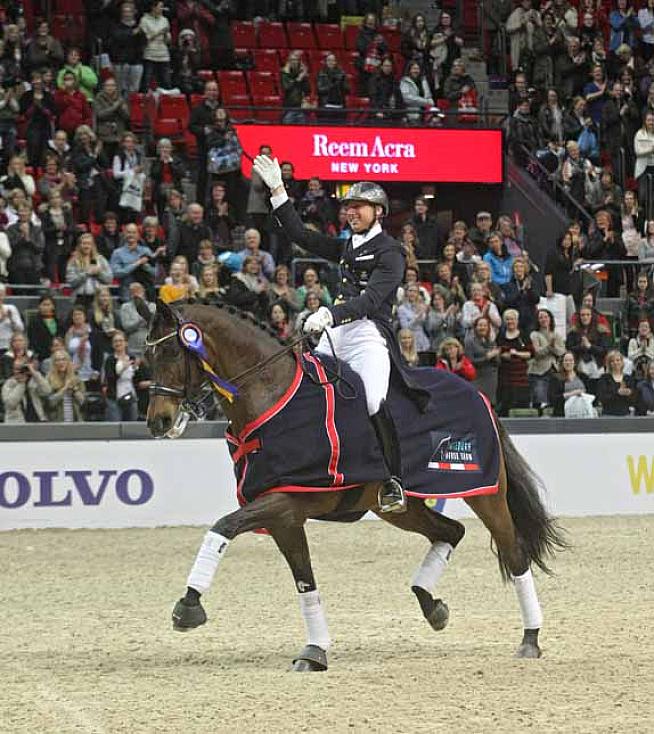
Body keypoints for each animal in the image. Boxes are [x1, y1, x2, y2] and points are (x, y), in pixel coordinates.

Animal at [145, 299, 566, 671]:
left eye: (169, 352)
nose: (158, 421)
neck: (271, 393)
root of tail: (477, 393)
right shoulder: (285, 517)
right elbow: (305, 583)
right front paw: (315, 651)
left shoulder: (283, 501)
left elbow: (222, 527)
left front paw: (188, 606)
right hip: (400, 507)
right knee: (451, 531)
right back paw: (432, 606)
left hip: (486, 494)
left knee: (514, 554)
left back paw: (530, 639)